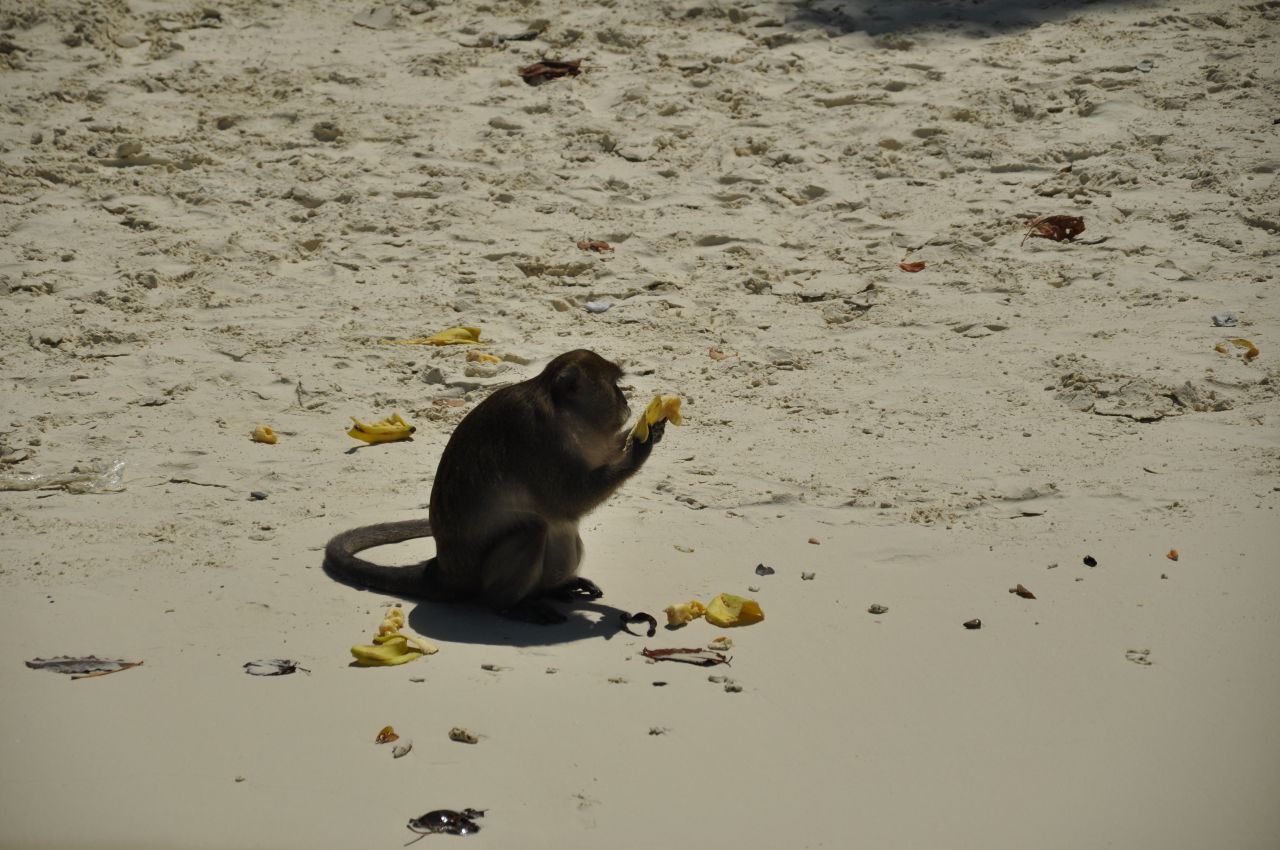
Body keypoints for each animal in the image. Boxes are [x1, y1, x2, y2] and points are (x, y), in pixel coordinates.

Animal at [322, 348, 670, 622]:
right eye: (613, 385)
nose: (625, 400)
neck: (562, 410)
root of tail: (443, 570)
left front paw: (640, 434)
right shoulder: (537, 436)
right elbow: (568, 501)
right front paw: (640, 447)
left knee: (559, 529)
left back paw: (552, 588)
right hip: (479, 578)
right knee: (533, 529)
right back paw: (509, 606)